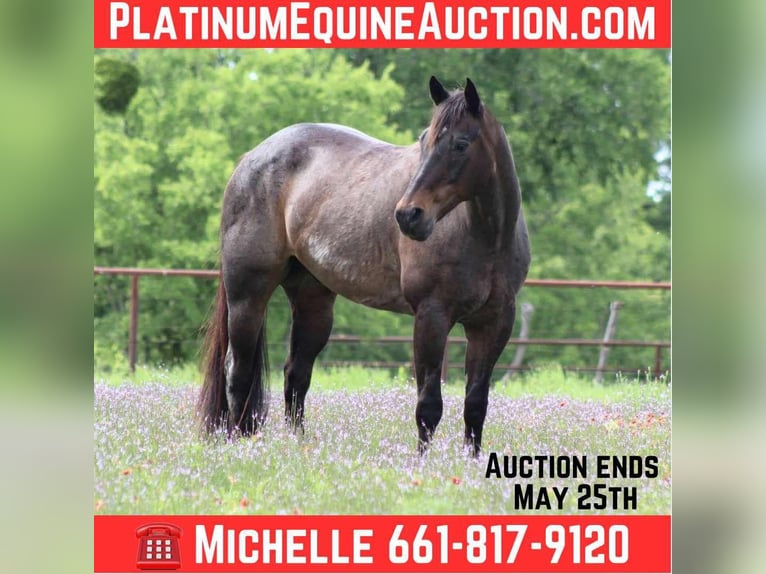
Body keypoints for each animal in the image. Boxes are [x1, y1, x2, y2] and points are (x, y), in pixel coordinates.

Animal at [200, 76, 530, 455]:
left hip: (313, 303)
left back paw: (298, 448)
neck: (485, 237)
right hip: (247, 296)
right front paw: (424, 463)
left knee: (296, 375)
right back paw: (237, 446)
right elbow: (429, 406)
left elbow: (475, 404)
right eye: (424, 140)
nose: (408, 215)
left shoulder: (493, 323)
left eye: (461, 144)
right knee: (237, 372)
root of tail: (250, 159)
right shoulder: (431, 316)